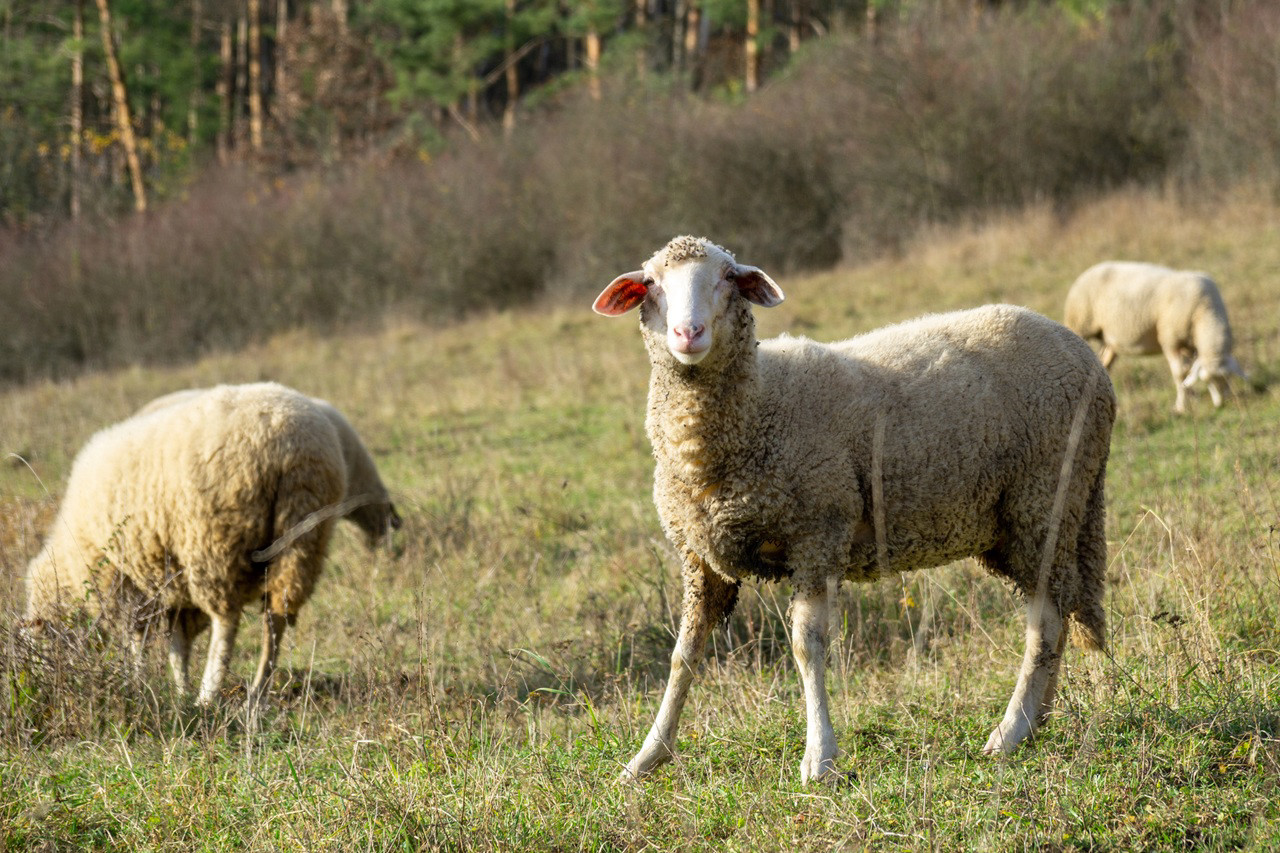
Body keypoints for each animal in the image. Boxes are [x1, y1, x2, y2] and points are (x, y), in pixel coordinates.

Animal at [24, 382, 398, 707]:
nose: (36, 688)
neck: (68, 560)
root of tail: (291, 445)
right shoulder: (171, 588)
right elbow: (176, 645)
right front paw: (178, 689)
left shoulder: (122, 581)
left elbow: (138, 641)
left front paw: (139, 684)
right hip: (304, 535)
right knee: (275, 618)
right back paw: (257, 694)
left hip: (216, 542)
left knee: (227, 622)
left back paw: (209, 694)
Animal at [594, 236, 1116, 784]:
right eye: (652, 283)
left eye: (727, 278)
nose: (687, 333)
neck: (756, 409)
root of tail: (1084, 354)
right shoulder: (701, 560)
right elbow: (683, 656)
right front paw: (645, 758)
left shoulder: (818, 533)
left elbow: (807, 645)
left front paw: (819, 756)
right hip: (1037, 515)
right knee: (1065, 612)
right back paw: (1038, 720)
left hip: (1045, 500)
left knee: (1046, 620)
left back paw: (1011, 731)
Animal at [1064, 261, 1246, 413]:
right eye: (1207, 382)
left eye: (1229, 378)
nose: (1222, 403)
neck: (1204, 309)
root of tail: (1093, 268)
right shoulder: (1171, 340)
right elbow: (1180, 373)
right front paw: (1181, 406)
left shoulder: (1188, 344)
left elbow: (1188, 371)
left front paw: (1191, 397)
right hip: (1079, 323)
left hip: (1109, 340)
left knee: (1103, 364)